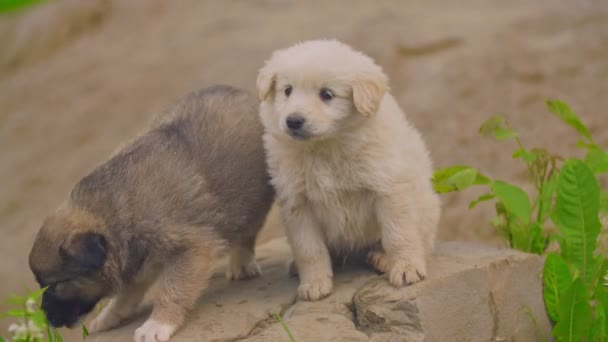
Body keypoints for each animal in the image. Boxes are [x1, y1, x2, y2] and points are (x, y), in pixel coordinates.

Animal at [28, 85, 274, 342]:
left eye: (56, 285)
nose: (46, 319)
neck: (115, 215)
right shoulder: (135, 265)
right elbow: (126, 296)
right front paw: (109, 316)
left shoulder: (190, 249)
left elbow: (173, 291)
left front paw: (157, 324)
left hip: (250, 199)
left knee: (247, 233)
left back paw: (242, 264)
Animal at [256, 40, 442, 300]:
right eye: (287, 90)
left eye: (327, 94)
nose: (293, 121)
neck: (326, 146)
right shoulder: (297, 202)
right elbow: (308, 248)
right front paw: (314, 284)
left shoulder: (388, 188)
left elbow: (398, 233)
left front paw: (406, 269)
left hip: (427, 206)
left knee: (419, 240)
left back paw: (383, 258)